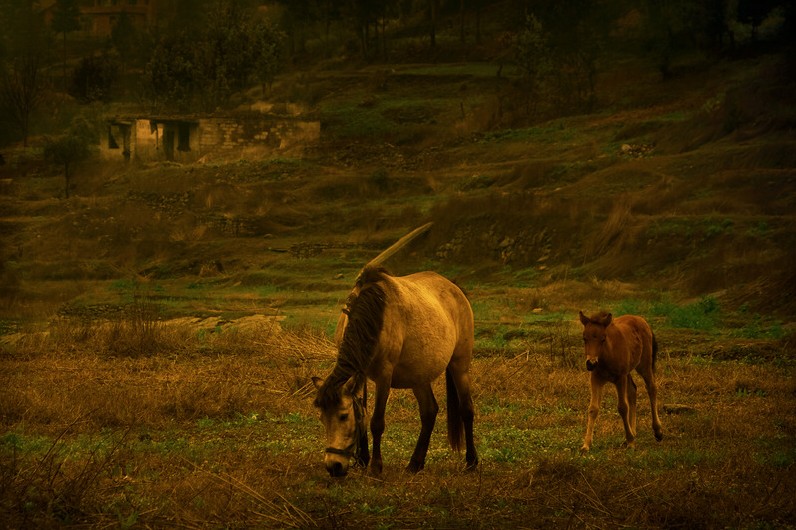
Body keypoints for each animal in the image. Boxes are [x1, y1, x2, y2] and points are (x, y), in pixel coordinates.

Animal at [312, 266, 478, 476]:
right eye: (322, 418)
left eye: (343, 416)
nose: (334, 467)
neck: (374, 314)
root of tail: (455, 289)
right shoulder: (361, 373)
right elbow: (362, 412)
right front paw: (363, 459)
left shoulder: (384, 375)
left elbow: (376, 422)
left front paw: (375, 466)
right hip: (419, 376)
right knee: (429, 411)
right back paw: (415, 464)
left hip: (459, 365)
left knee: (466, 409)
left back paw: (471, 462)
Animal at [580, 310, 664, 450]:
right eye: (584, 338)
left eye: (603, 339)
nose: (591, 363)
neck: (607, 356)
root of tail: (642, 320)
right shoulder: (596, 378)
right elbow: (593, 408)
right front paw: (586, 445)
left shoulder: (620, 378)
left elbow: (623, 407)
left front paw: (630, 441)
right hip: (628, 372)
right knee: (633, 390)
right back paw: (633, 432)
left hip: (644, 366)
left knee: (651, 388)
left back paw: (658, 431)